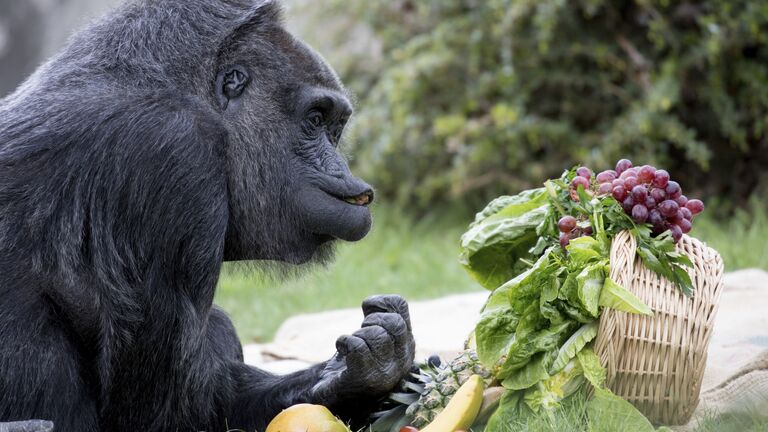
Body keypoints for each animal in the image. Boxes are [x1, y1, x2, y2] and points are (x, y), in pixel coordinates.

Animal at [0, 0, 414, 432]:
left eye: (334, 128)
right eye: (315, 119)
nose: (343, 169)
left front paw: (359, 373)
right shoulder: (173, 153)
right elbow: (158, 412)